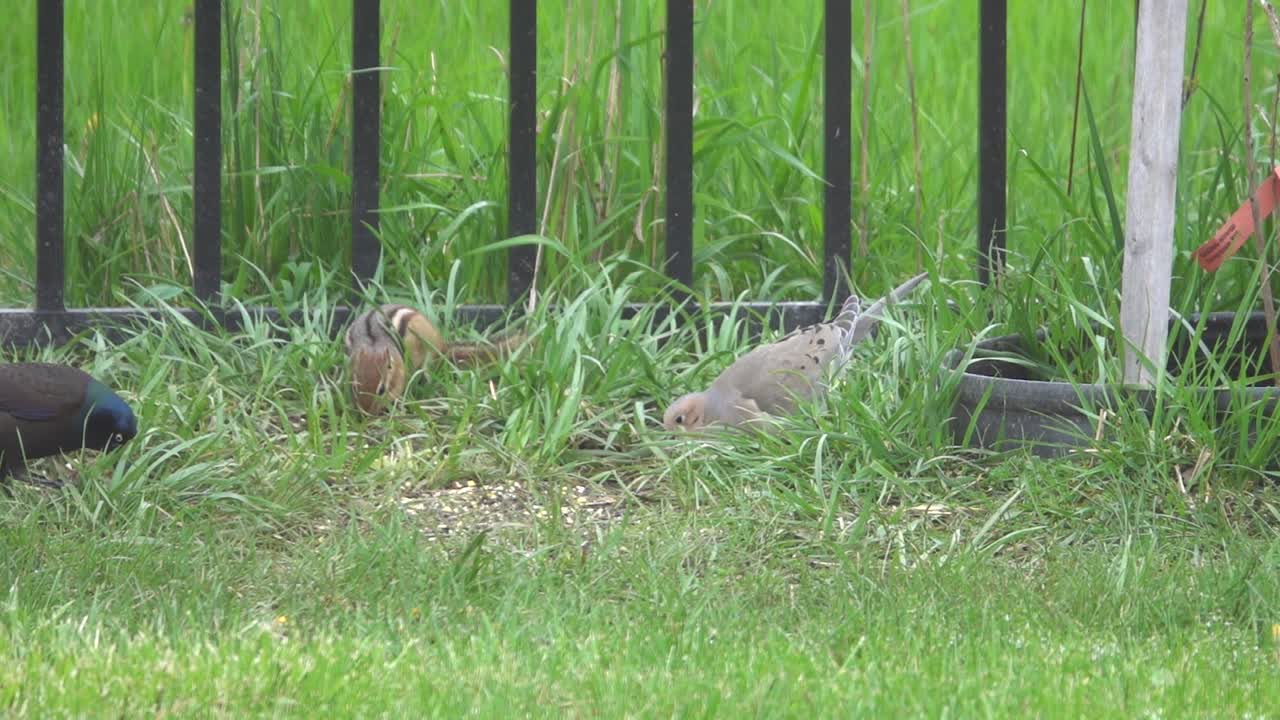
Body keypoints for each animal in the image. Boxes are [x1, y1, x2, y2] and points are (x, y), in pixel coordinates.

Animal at [344, 303, 526, 414]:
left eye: (381, 390)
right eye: (354, 387)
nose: (366, 413)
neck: (374, 343)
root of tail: (443, 347)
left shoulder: (400, 372)